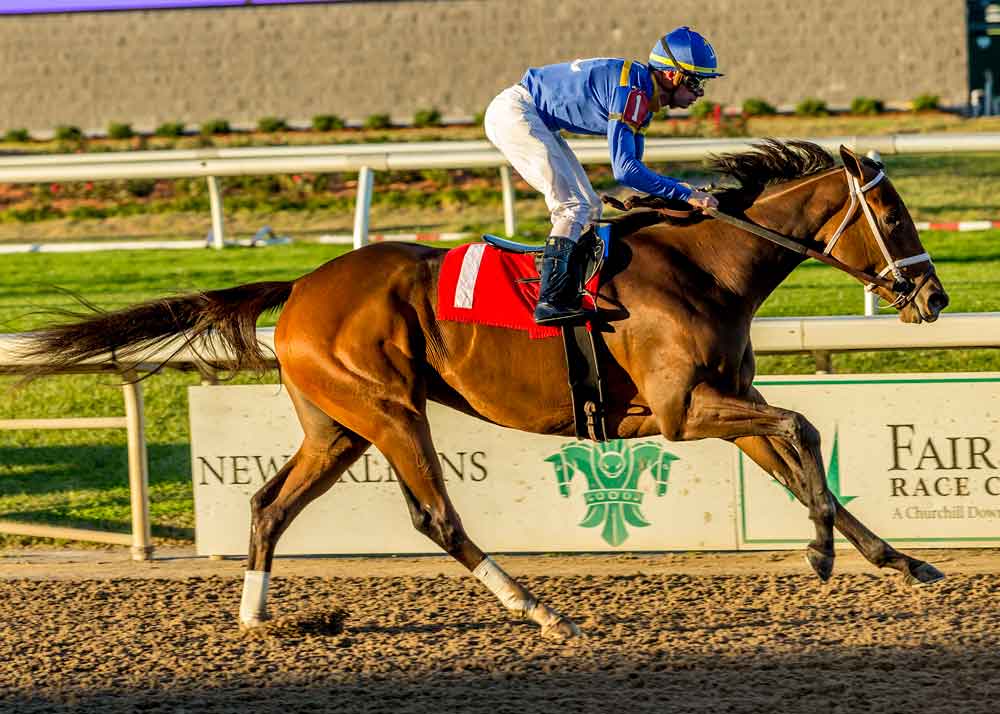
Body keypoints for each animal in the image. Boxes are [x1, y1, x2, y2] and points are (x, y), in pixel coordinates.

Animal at [13, 140, 952, 640]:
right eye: (893, 217)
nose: (934, 297)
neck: (703, 267)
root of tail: (303, 283)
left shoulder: (719, 403)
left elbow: (800, 453)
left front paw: (897, 558)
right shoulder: (685, 412)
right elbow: (802, 429)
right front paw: (822, 552)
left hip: (336, 427)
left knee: (268, 504)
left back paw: (257, 617)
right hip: (389, 410)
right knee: (436, 516)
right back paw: (540, 611)